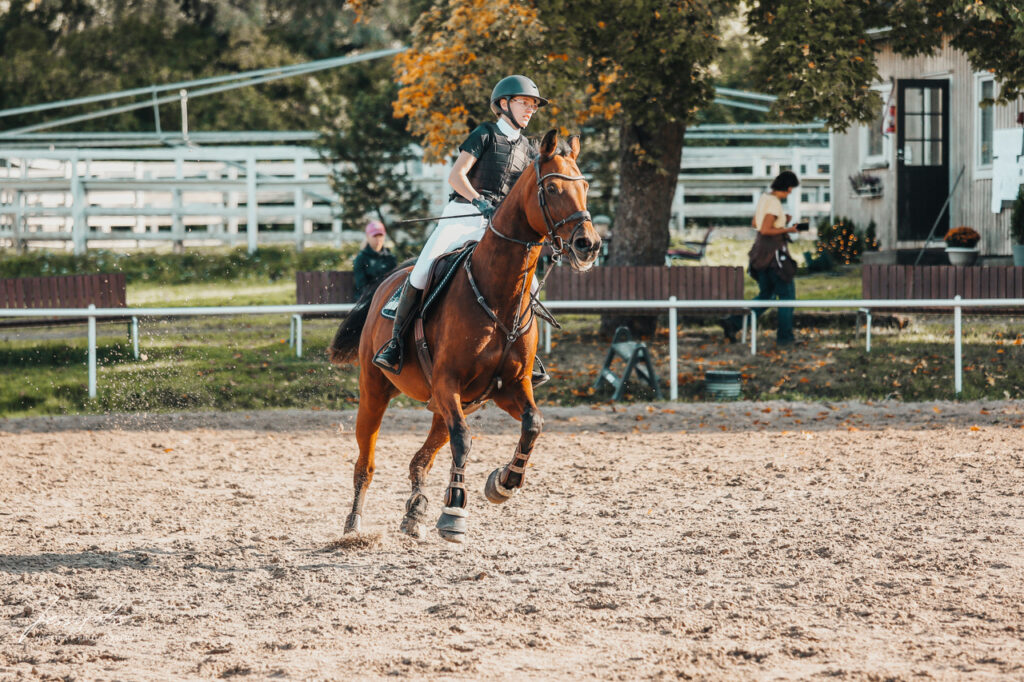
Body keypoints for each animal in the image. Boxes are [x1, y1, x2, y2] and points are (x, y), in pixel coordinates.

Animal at [327, 129, 598, 540]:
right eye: (551, 188)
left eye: (584, 186)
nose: (589, 245)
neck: (498, 293)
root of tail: (389, 279)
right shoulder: (448, 382)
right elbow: (464, 440)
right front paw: (454, 510)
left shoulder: (509, 386)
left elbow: (533, 424)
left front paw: (503, 483)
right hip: (376, 391)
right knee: (367, 461)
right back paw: (355, 523)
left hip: (446, 403)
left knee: (420, 459)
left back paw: (415, 512)